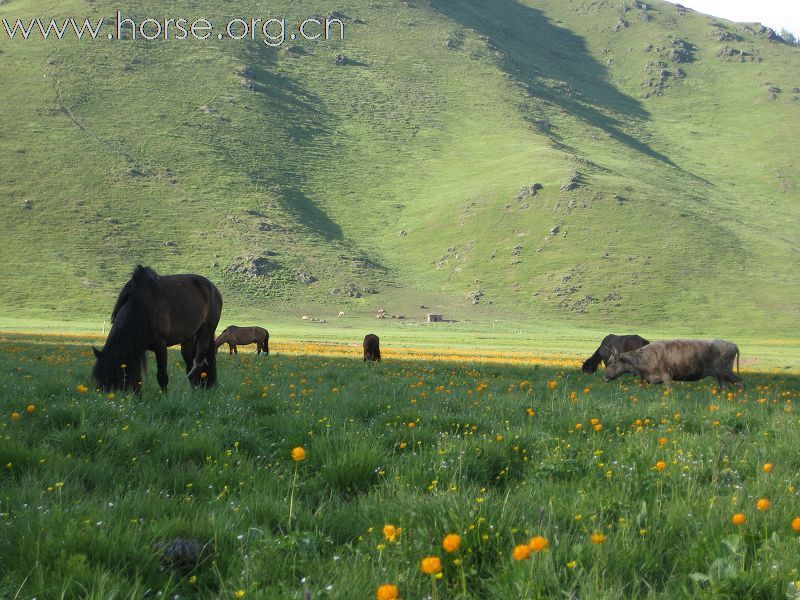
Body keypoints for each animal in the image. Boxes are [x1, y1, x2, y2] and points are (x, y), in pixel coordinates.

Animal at [91, 268, 222, 394]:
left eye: (112, 377)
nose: (106, 396)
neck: (142, 309)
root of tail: (213, 288)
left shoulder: (160, 346)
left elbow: (162, 376)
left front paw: (165, 397)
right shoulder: (136, 349)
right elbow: (137, 380)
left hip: (205, 334)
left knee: (198, 364)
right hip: (188, 339)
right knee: (190, 366)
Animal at [608, 340, 744, 392]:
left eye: (612, 362)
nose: (605, 377)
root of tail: (732, 345)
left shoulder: (667, 375)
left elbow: (669, 390)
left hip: (726, 372)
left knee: (740, 382)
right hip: (720, 376)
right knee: (725, 387)